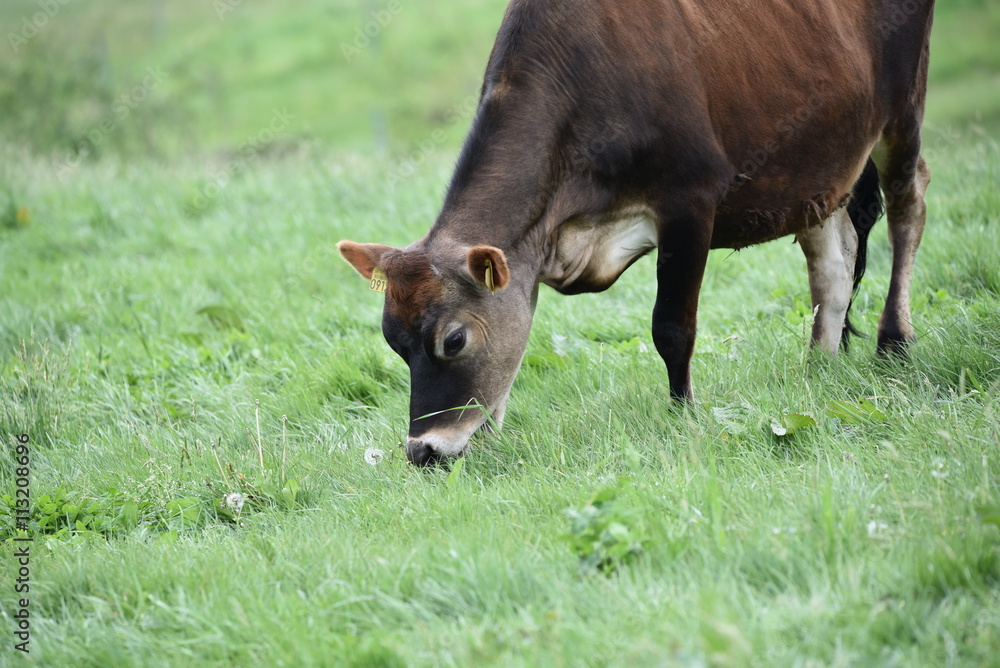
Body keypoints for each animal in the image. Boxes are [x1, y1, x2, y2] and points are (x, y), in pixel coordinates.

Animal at [338, 0, 935, 465]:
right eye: (393, 341)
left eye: (455, 339)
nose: (424, 451)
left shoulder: (690, 200)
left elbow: (671, 328)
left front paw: (683, 414)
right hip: (822, 162)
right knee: (833, 267)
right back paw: (818, 369)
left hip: (903, 106)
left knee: (909, 203)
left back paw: (894, 340)